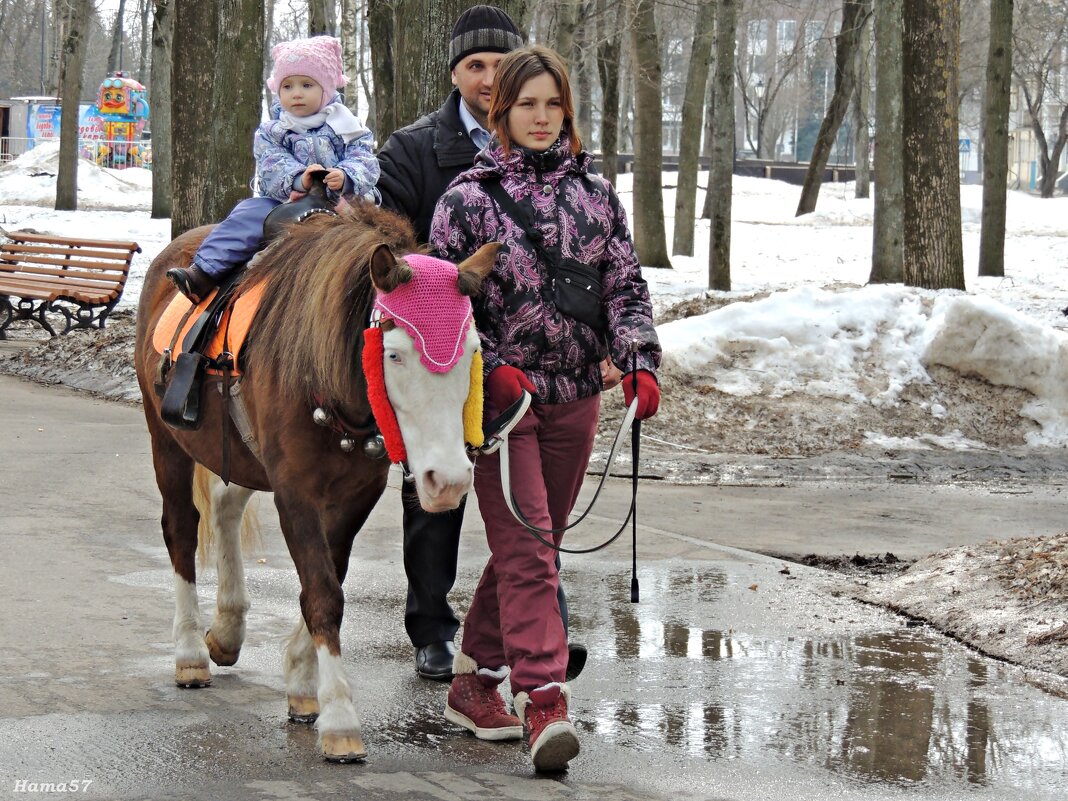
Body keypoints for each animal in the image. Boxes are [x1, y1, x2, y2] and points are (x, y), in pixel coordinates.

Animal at [135, 201, 497, 764]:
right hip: (167, 439)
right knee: (180, 528)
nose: (450, 480)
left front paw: (304, 683)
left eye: (473, 349)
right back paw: (191, 650)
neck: (326, 375)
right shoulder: (295, 492)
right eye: (394, 354)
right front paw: (340, 716)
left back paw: (228, 628)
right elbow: (323, 592)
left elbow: (329, 578)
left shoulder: (354, 496)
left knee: (225, 502)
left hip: (243, 454)